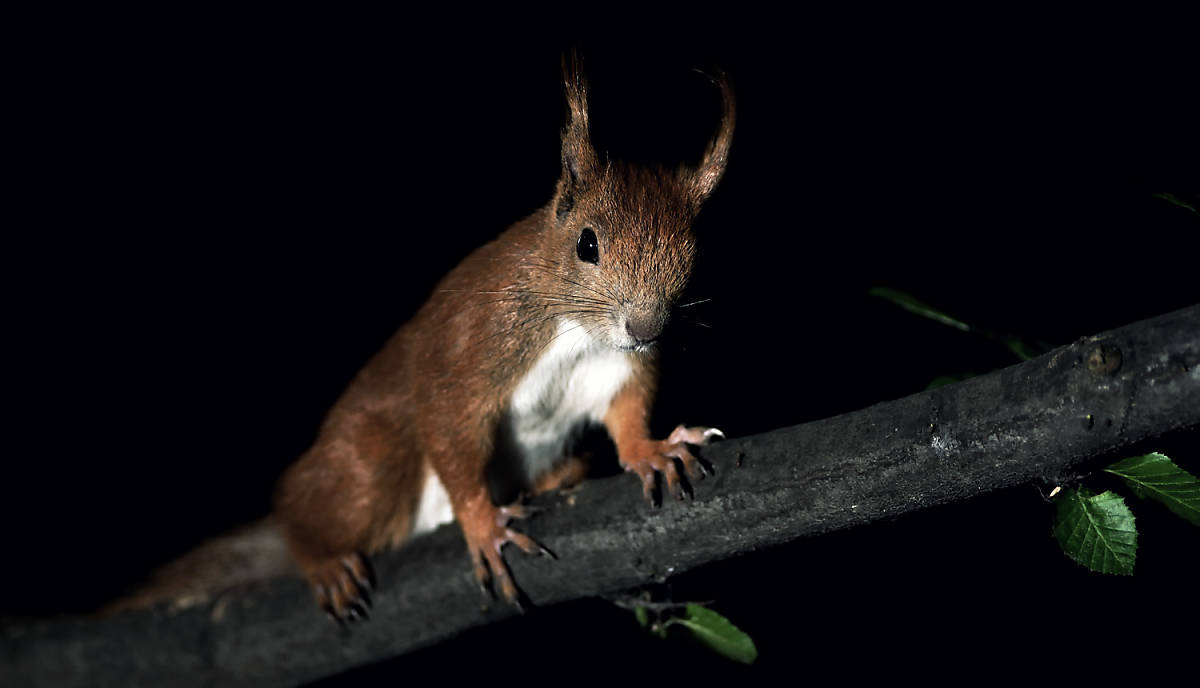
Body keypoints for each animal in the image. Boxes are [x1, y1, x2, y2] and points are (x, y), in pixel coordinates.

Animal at [110, 57, 734, 620]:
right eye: (587, 244)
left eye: (693, 253)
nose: (645, 328)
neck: (577, 332)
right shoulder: (473, 343)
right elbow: (450, 422)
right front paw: (482, 525)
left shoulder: (619, 365)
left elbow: (626, 411)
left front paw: (651, 451)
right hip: (368, 465)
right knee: (308, 509)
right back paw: (323, 559)